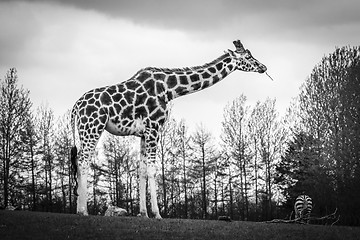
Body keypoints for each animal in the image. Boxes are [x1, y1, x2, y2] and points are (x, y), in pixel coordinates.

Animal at [70, 39, 268, 218]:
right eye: (248, 56)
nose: (264, 67)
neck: (169, 89)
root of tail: (75, 107)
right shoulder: (154, 127)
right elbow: (152, 169)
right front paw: (157, 214)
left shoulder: (143, 133)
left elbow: (142, 170)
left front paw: (143, 213)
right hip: (93, 127)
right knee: (83, 160)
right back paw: (83, 210)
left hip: (85, 130)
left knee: (78, 160)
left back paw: (79, 208)